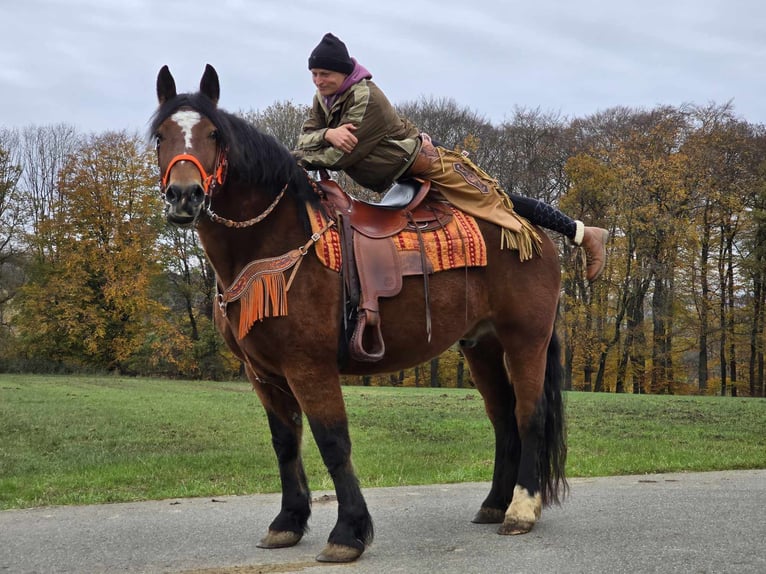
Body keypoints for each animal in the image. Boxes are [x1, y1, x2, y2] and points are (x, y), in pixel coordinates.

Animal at [152, 65, 568, 564]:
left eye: (214, 134)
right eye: (160, 136)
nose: (184, 196)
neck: (274, 240)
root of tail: (528, 228)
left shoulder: (308, 366)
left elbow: (333, 441)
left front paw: (348, 532)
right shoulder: (262, 372)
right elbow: (285, 443)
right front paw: (287, 522)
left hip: (525, 339)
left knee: (529, 415)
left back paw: (522, 509)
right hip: (481, 345)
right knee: (503, 418)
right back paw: (494, 504)